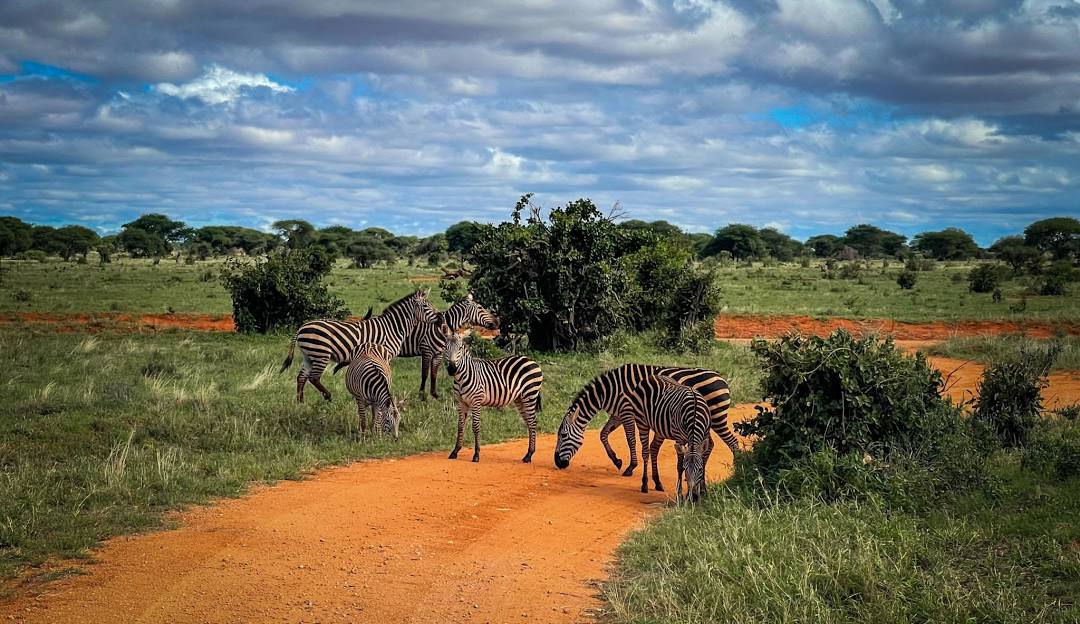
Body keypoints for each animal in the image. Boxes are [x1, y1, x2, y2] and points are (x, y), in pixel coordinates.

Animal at [282, 287, 442, 401]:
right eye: (426, 306)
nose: (441, 319)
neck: (393, 327)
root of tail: (301, 328)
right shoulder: (385, 353)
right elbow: (385, 374)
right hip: (321, 354)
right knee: (313, 378)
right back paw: (328, 396)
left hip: (309, 356)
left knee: (301, 377)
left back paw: (300, 403)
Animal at [345, 291, 496, 397]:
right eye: (481, 308)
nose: (497, 323)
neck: (440, 328)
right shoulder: (426, 351)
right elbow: (425, 373)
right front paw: (422, 394)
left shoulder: (438, 353)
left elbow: (434, 374)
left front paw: (434, 394)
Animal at [440, 326, 544, 462]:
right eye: (445, 347)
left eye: (460, 348)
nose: (452, 369)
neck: (461, 377)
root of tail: (532, 360)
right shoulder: (461, 402)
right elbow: (460, 426)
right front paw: (455, 451)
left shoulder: (476, 400)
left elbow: (475, 426)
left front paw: (476, 454)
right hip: (520, 399)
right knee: (529, 422)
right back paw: (528, 454)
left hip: (529, 395)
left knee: (532, 421)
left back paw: (529, 455)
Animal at [552, 362, 738, 483]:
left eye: (563, 435)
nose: (558, 463)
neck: (610, 391)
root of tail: (722, 379)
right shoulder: (618, 414)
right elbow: (603, 434)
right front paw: (616, 460)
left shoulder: (627, 412)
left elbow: (630, 440)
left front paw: (630, 467)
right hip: (704, 422)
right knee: (710, 444)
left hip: (716, 417)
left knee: (732, 441)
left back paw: (737, 471)